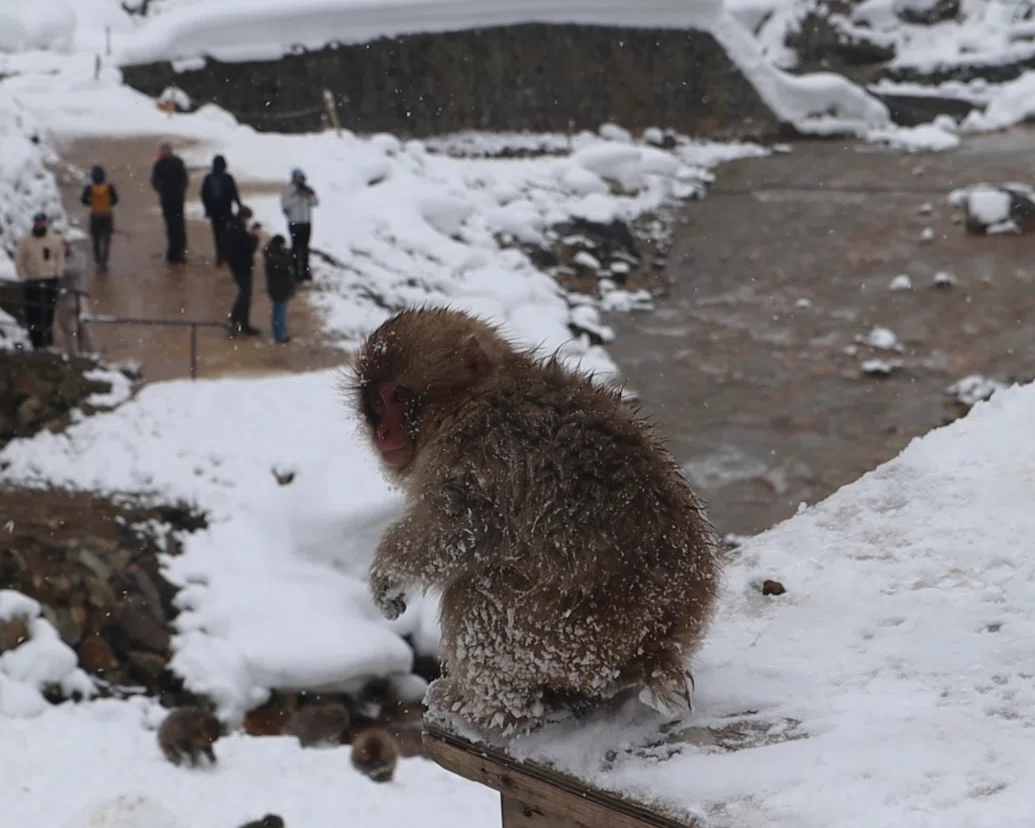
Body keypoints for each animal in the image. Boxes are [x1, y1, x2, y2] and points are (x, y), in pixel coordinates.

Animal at [350, 307, 722, 735]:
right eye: (376, 400)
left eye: (399, 396)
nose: (382, 432)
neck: (474, 396)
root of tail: (659, 645)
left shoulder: (482, 452)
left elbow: (458, 531)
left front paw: (386, 574)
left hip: (574, 638)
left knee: (478, 597)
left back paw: (490, 711)